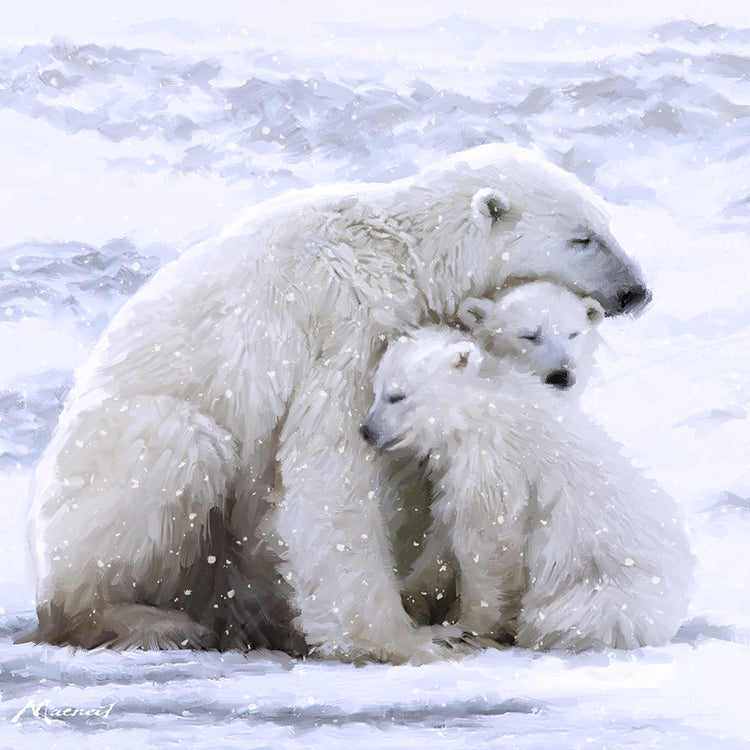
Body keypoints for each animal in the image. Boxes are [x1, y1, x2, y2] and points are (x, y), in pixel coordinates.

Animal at [360, 327, 694, 651]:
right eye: (376, 392)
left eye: (397, 396)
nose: (366, 430)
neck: (477, 411)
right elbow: (444, 534)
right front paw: (410, 596)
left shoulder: (493, 464)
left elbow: (488, 542)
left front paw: (465, 627)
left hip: (607, 592)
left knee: (576, 617)